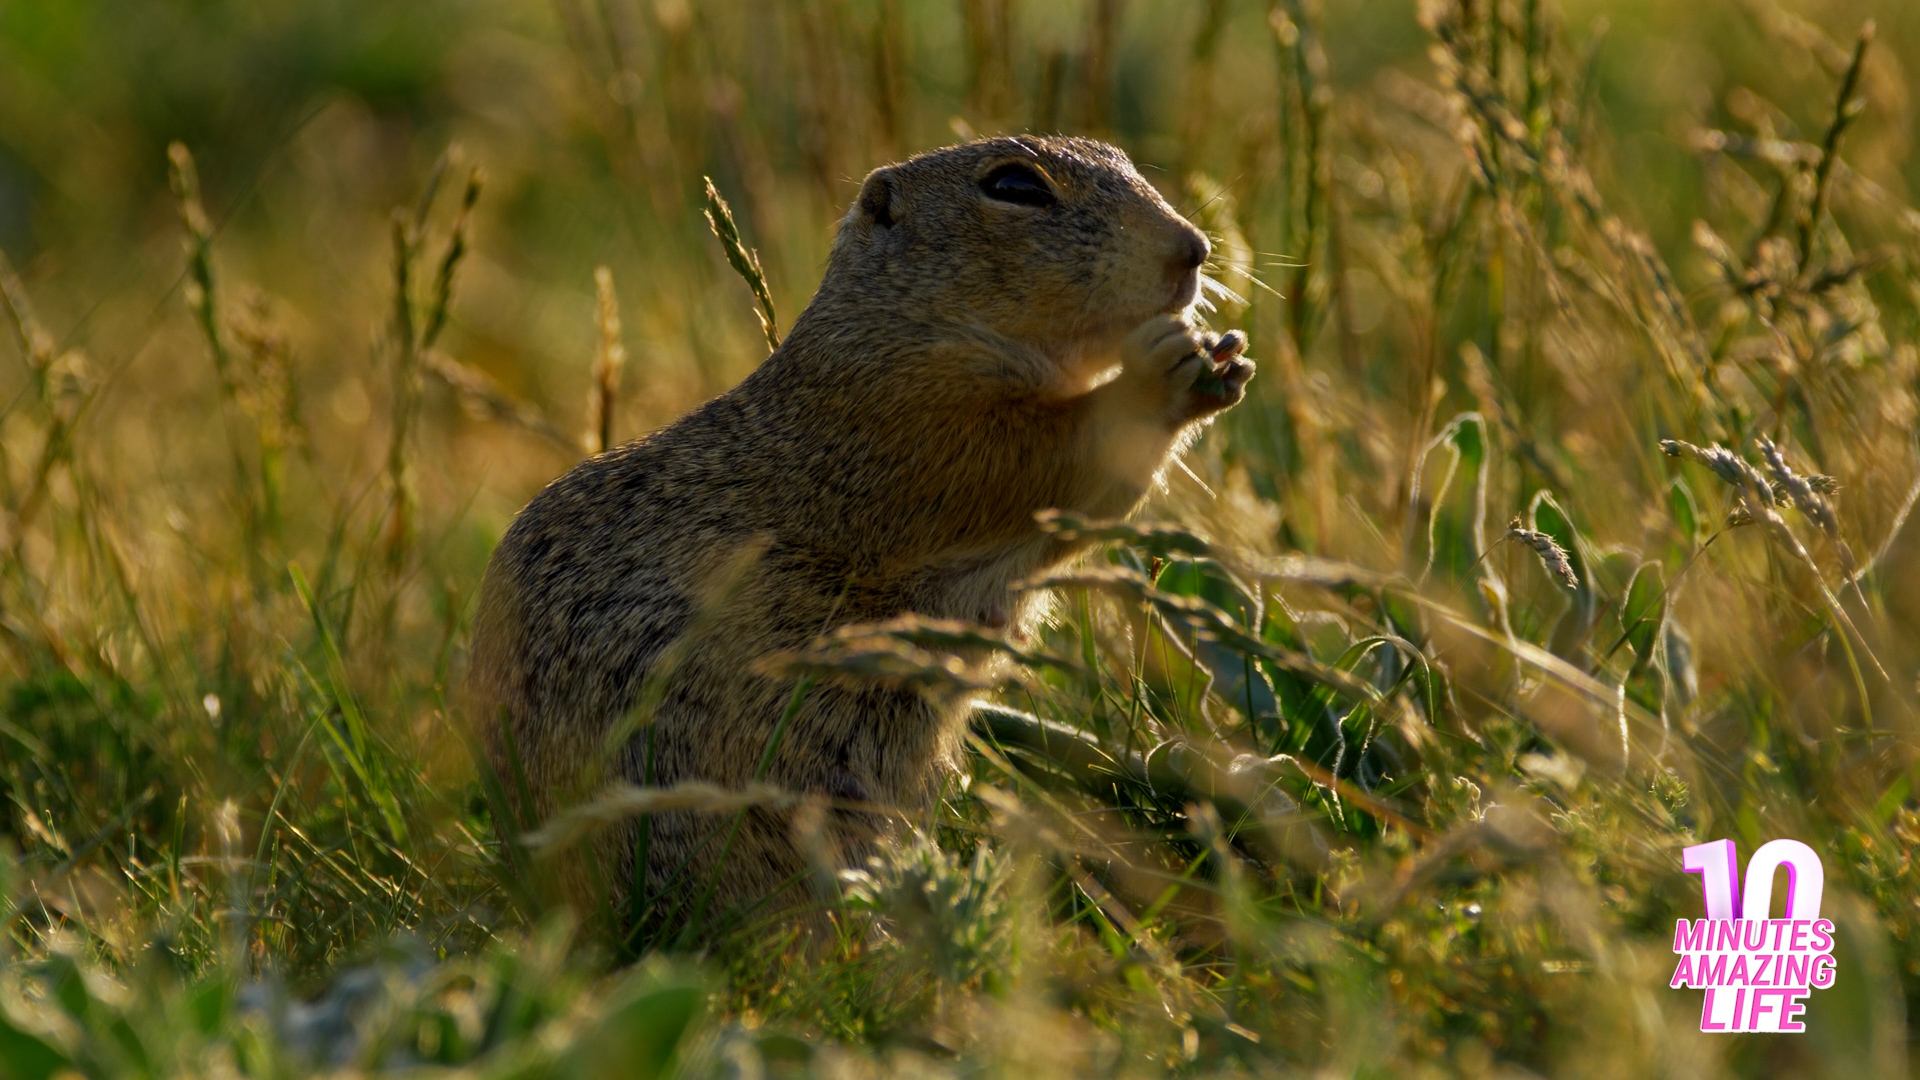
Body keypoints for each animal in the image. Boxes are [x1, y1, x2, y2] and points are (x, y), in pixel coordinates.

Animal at [468, 135, 1253, 938]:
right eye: (1014, 187)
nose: (1193, 249)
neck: (894, 325)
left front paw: (1224, 360)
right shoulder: (914, 426)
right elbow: (1047, 453)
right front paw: (1162, 368)